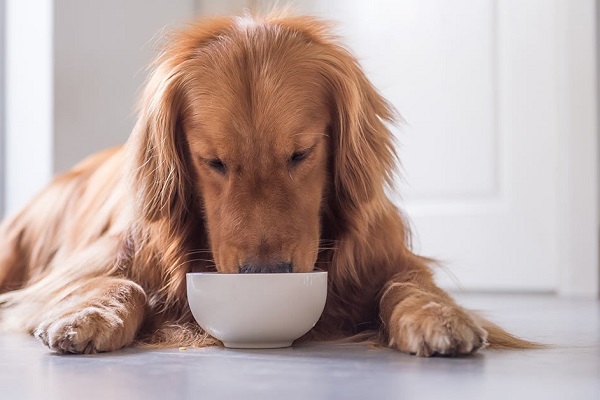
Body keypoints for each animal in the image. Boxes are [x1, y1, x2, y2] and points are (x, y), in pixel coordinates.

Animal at [0, 14, 536, 356]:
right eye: (213, 161)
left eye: (300, 153)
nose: (266, 273)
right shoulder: (94, 261)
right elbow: (114, 282)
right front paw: (88, 315)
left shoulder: (389, 258)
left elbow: (405, 284)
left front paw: (439, 317)